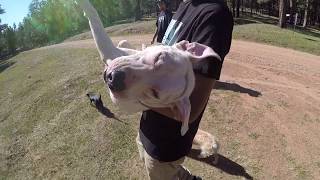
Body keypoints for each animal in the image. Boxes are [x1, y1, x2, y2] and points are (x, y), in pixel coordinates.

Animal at [76, 0, 220, 162]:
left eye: (155, 93)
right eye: (159, 56)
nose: (113, 78)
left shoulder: (109, 53)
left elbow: (95, 19)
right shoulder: (122, 52)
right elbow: (124, 44)